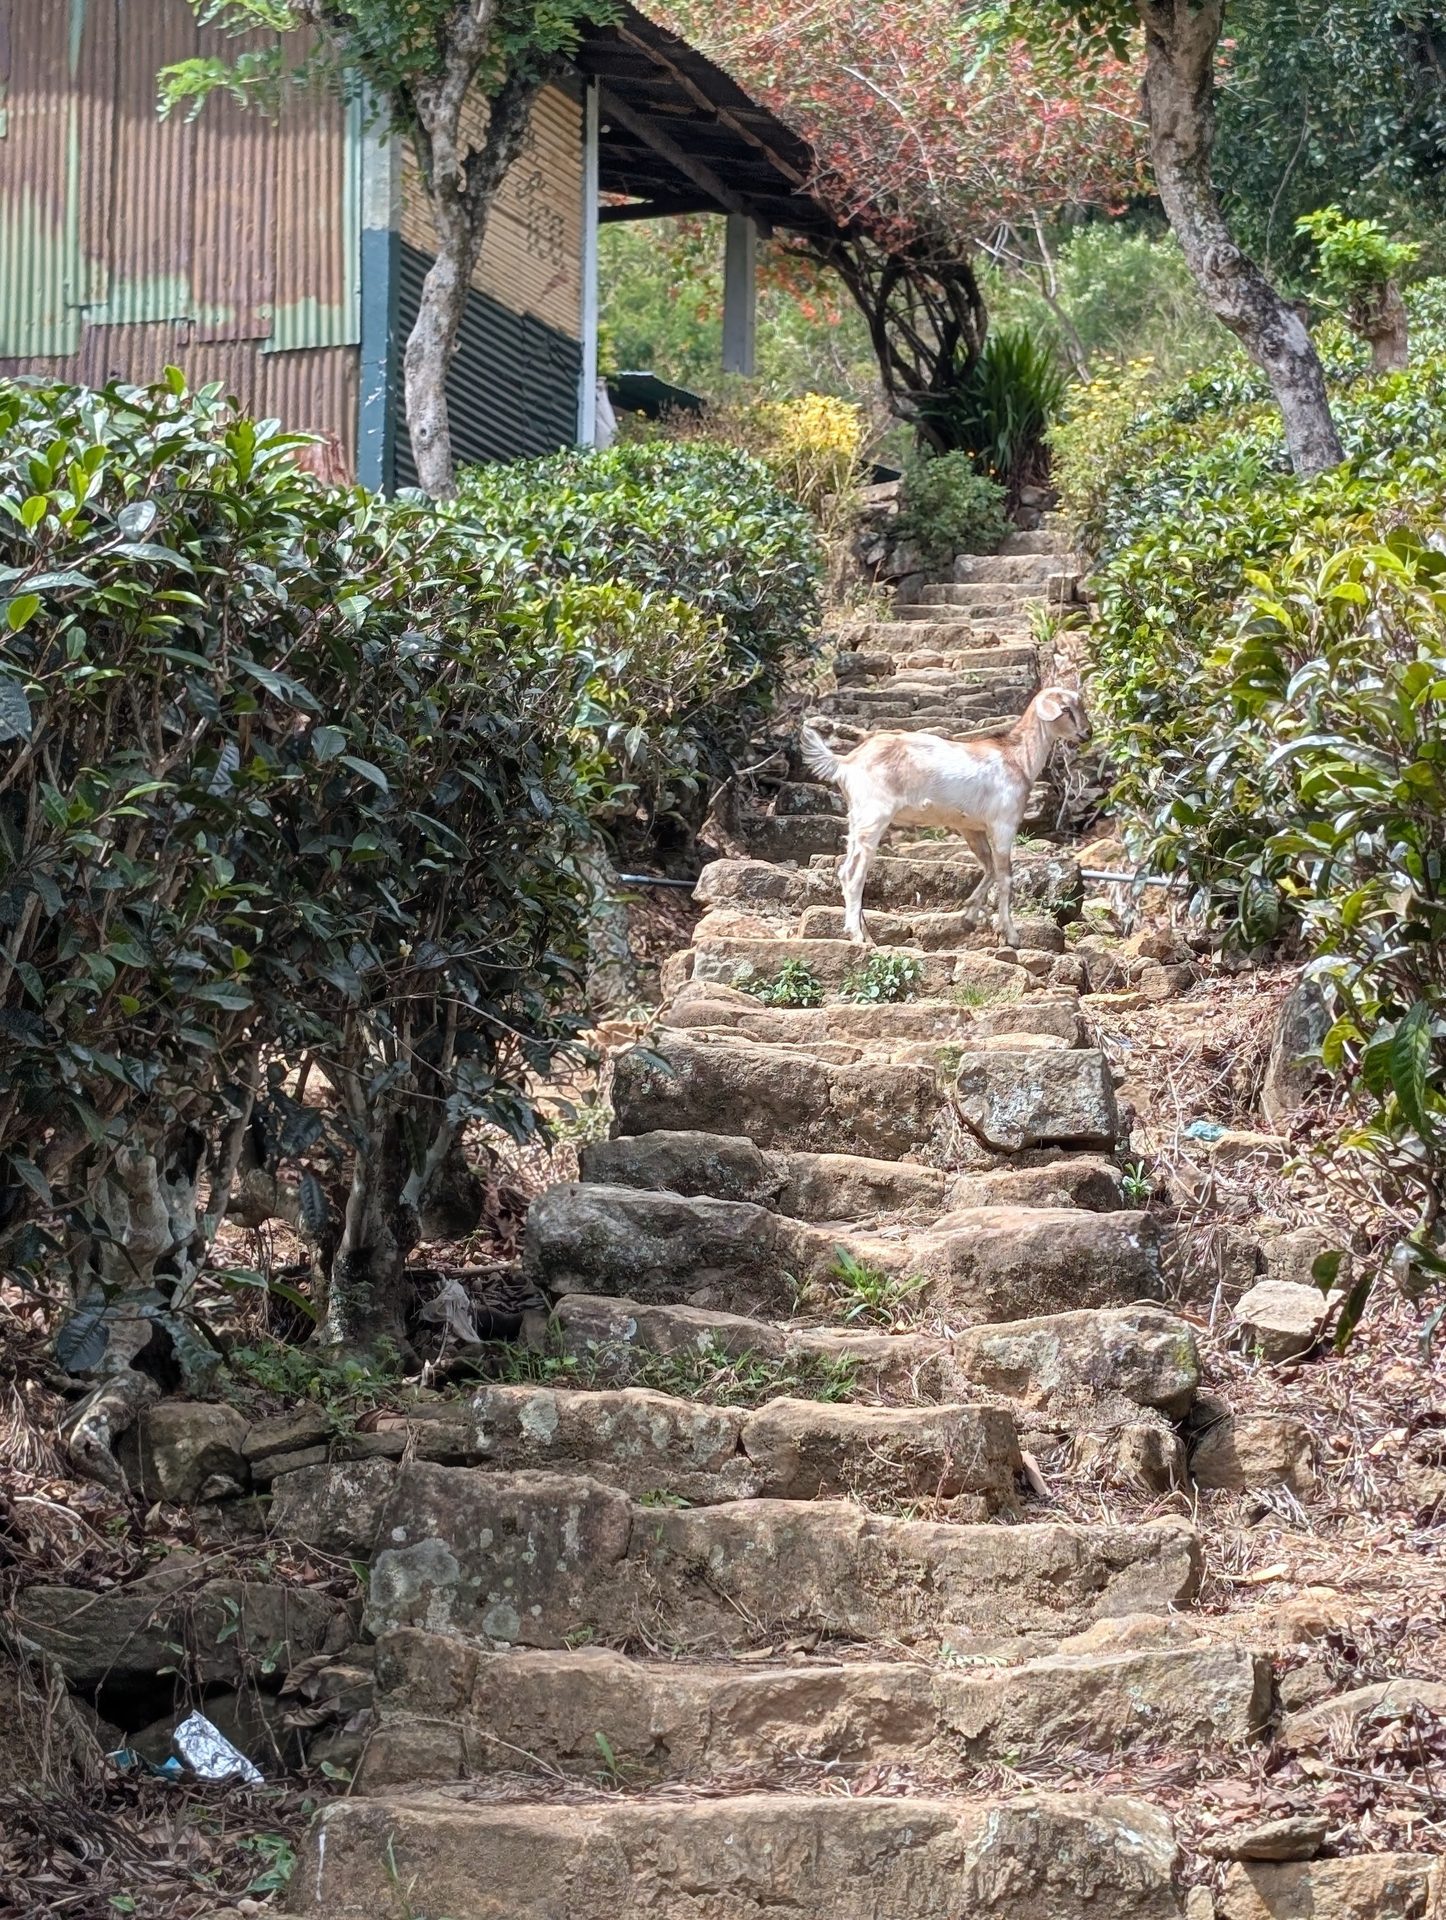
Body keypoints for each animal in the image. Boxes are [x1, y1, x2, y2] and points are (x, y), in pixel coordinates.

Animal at [800, 686, 1089, 948]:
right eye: (1065, 709)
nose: (1087, 733)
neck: (1016, 758)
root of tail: (845, 763)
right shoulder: (1004, 823)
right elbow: (1005, 876)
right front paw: (1011, 935)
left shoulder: (971, 828)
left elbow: (989, 868)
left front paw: (970, 915)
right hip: (874, 816)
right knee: (854, 873)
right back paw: (858, 936)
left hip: (857, 817)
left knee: (845, 869)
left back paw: (866, 935)